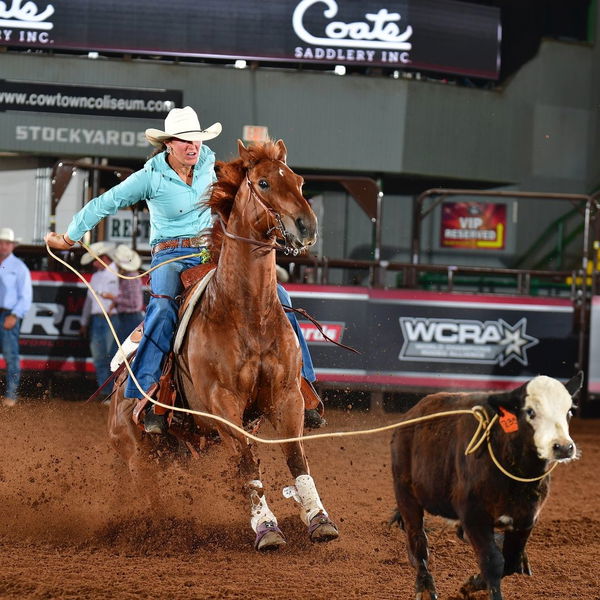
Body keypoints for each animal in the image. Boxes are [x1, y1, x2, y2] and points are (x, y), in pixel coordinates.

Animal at [109, 139, 338, 548]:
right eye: (263, 183)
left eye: (298, 180)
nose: (307, 226)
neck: (247, 313)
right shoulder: (223, 405)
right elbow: (247, 463)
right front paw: (266, 527)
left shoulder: (287, 399)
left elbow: (296, 458)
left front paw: (318, 518)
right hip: (138, 454)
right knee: (151, 495)